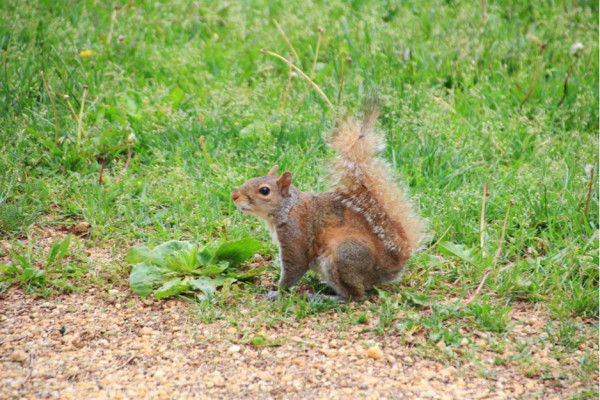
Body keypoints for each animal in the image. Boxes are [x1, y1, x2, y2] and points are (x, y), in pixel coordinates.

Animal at [231, 106, 426, 300]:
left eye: (264, 191)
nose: (234, 195)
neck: (288, 208)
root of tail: (385, 269)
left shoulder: (296, 235)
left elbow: (295, 267)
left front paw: (275, 293)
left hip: (342, 256)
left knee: (355, 296)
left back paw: (324, 297)